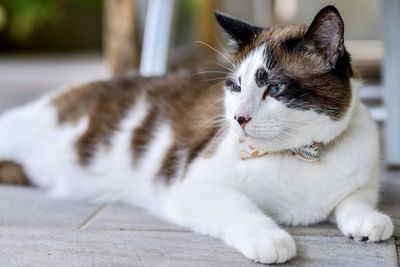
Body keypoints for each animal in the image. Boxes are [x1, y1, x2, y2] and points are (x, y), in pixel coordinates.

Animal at [0, 5, 394, 264]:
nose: (238, 118)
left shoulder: (363, 183)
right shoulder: (193, 186)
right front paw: (271, 239)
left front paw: (368, 221)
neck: (297, 153)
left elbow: (355, 201)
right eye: (236, 86)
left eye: (276, 88)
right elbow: (243, 209)